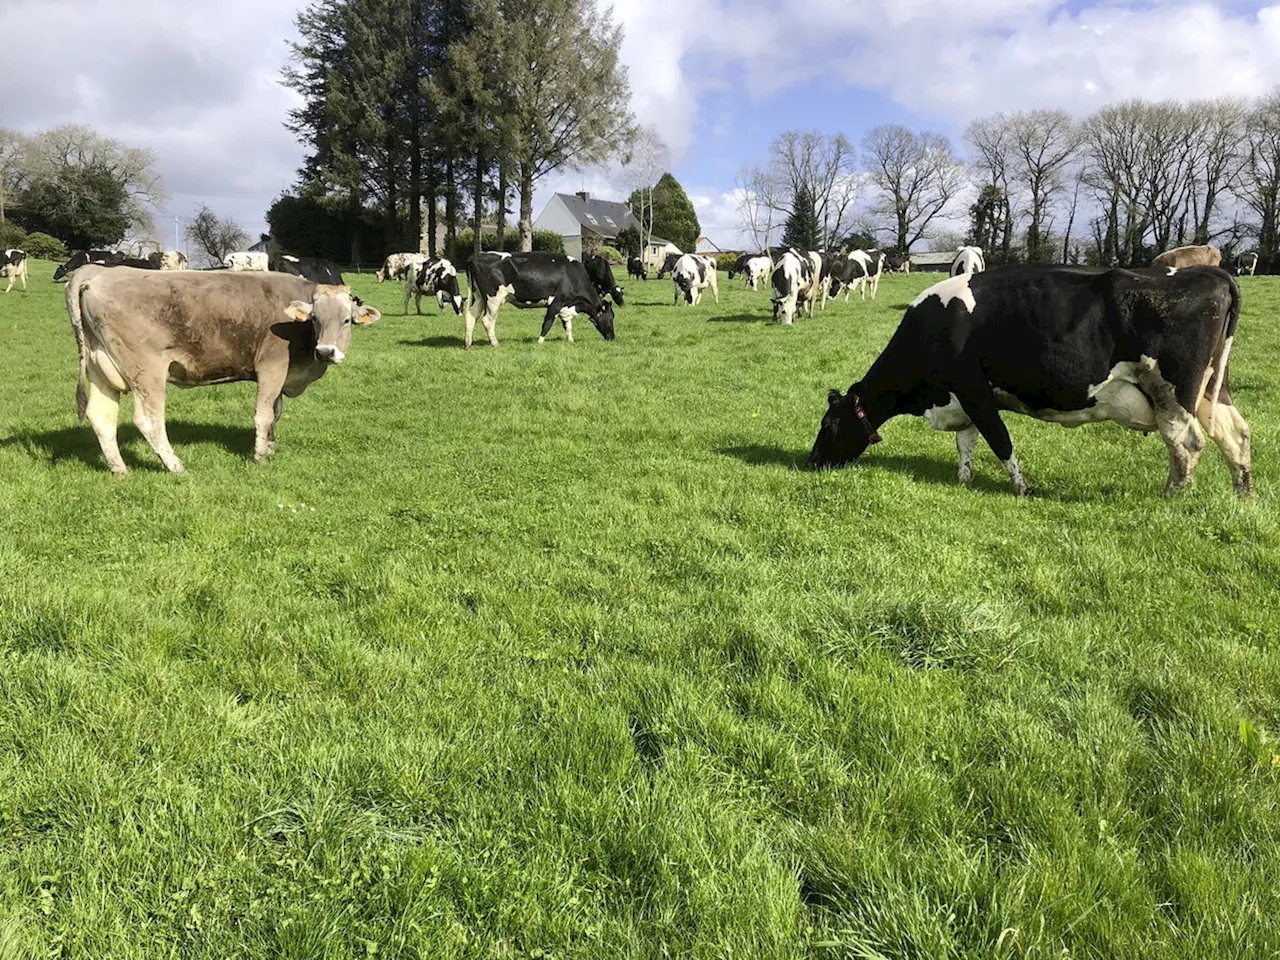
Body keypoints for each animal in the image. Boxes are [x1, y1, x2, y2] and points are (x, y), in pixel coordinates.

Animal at [62, 267, 376, 478]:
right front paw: (260, 457)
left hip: (101, 369)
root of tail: (98, 271)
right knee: (149, 421)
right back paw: (177, 467)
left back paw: (120, 470)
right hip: (146, 371)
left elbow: (275, 412)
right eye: (315, 319)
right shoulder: (272, 366)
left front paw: (270, 447)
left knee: (101, 417)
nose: (326, 352)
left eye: (346, 320)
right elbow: (264, 414)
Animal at [463, 252, 616, 350]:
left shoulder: (566, 305)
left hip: (478, 297)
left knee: (471, 316)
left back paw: (468, 344)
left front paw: (571, 341)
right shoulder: (556, 302)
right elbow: (547, 323)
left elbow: (568, 325)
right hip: (493, 299)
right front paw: (540, 342)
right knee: (487, 321)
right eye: (611, 318)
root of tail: (476, 255)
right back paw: (495, 344)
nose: (612, 337)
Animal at [808, 267, 1249, 499]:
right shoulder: (963, 398)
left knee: (1186, 444)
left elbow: (999, 439)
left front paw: (1022, 486)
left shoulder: (973, 390)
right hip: (1212, 389)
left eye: (827, 425)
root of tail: (1207, 272)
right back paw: (1243, 493)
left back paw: (1171, 495)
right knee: (1236, 435)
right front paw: (963, 479)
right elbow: (967, 442)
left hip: (1172, 393)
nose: (811, 461)